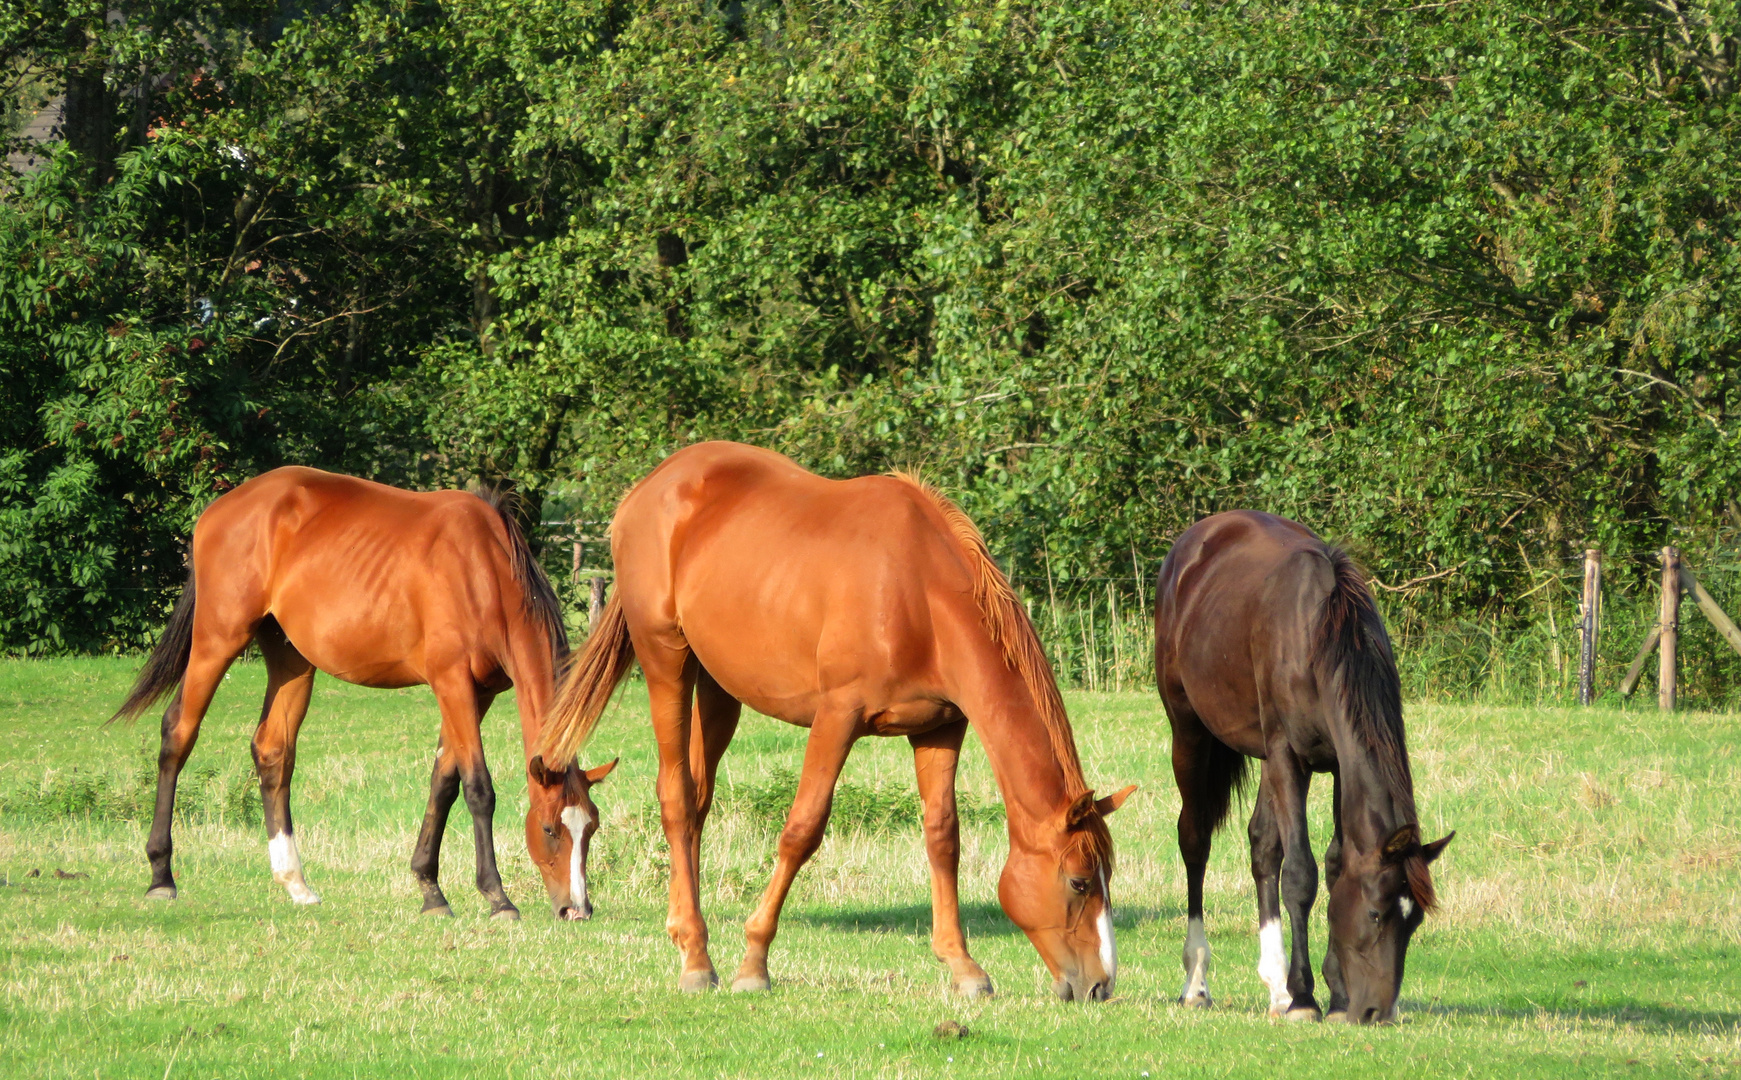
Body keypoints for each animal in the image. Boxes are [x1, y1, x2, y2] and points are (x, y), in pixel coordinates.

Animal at [110, 466, 619, 919]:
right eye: (551, 829)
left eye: (591, 827)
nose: (577, 910)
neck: (483, 570)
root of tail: (218, 510)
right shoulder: (452, 683)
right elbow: (478, 788)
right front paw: (497, 899)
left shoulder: (480, 693)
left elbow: (443, 783)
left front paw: (430, 891)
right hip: (218, 638)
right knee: (178, 733)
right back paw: (161, 876)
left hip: (292, 659)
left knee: (273, 751)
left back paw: (295, 883)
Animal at [536, 442, 1135, 996]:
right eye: (1080, 883)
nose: (1100, 986)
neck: (919, 593)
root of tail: (648, 487)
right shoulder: (837, 717)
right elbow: (802, 830)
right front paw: (754, 963)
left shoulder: (940, 728)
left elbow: (944, 837)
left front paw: (963, 966)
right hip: (667, 663)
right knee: (677, 796)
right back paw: (697, 960)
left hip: (719, 689)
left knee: (698, 801)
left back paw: (690, 940)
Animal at [1156, 512, 1455, 1024]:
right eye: (1376, 913)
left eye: (1413, 919)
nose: (1376, 1011)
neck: (1318, 635)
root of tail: (1192, 543)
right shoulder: (1287, 756)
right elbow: (1300, 874)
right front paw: (1305, 997)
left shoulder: (1335, 764)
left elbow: (1333, 867)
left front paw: (1334, 994)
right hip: (1190, 730)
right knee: (1195, 840)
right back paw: (1198, 980)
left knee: (1262, 846)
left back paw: (1275, 985)